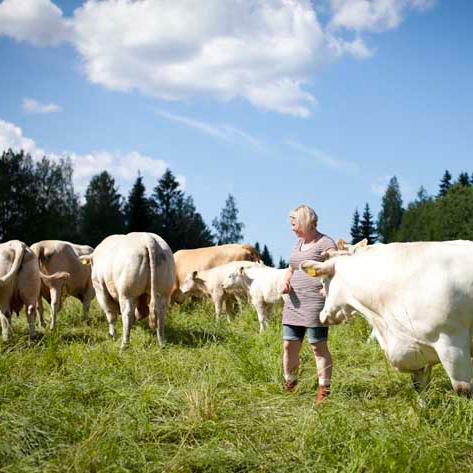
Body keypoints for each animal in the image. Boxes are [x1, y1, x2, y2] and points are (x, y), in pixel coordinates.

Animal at [298, 240, 473, 394]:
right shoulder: (414, 351)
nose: (322, 315)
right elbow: (420, 386)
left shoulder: (452, 344)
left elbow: (463, 389)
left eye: (323, 282)